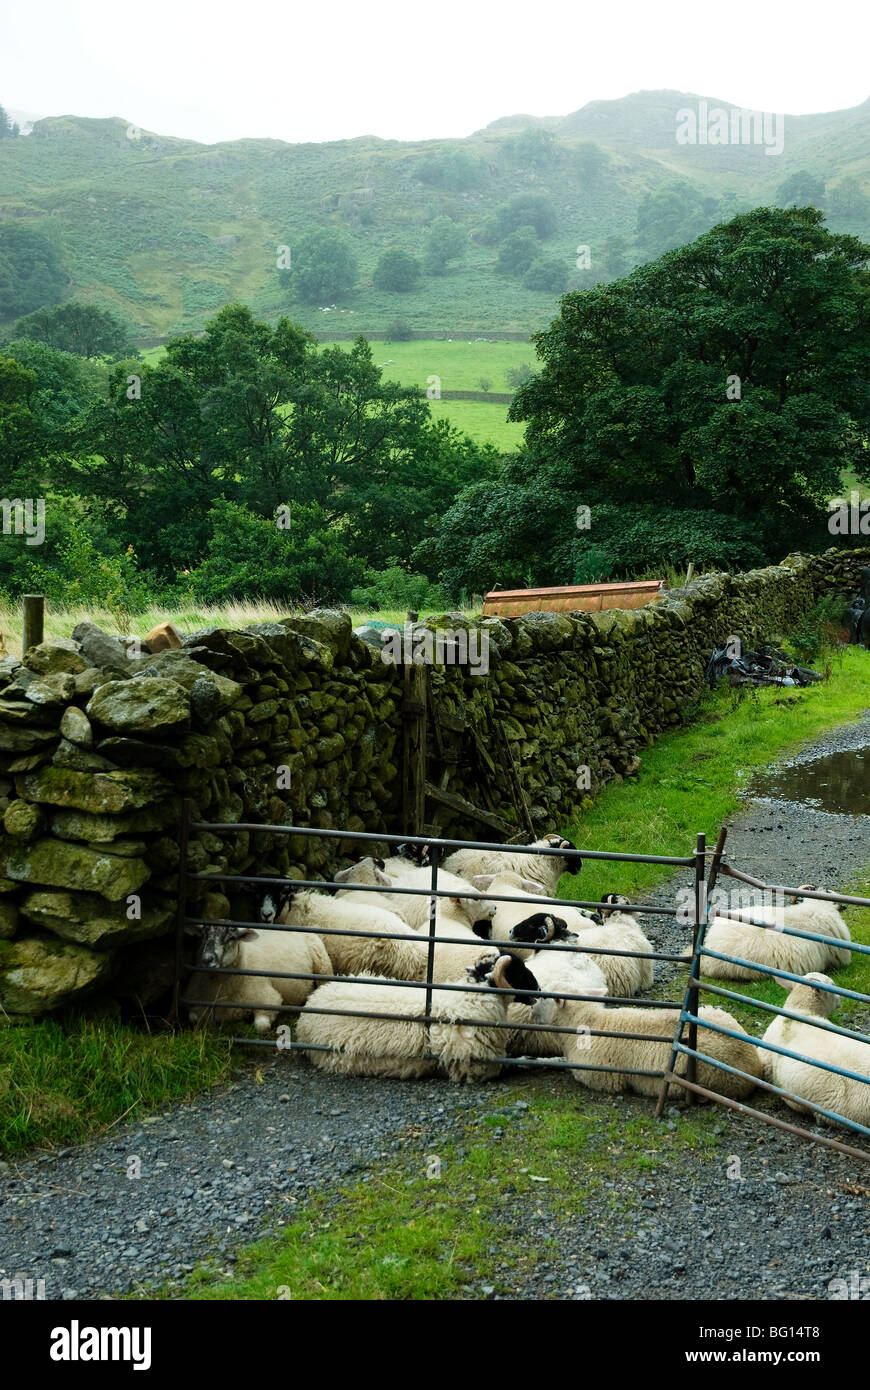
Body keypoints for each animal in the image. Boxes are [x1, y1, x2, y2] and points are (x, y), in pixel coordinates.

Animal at [184, 922, 327, 1034]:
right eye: (203, 936)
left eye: (231, 938)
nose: (207, 959)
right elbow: (193, 1018)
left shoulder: (269, 999)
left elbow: (261, 1027)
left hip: (323, 967)